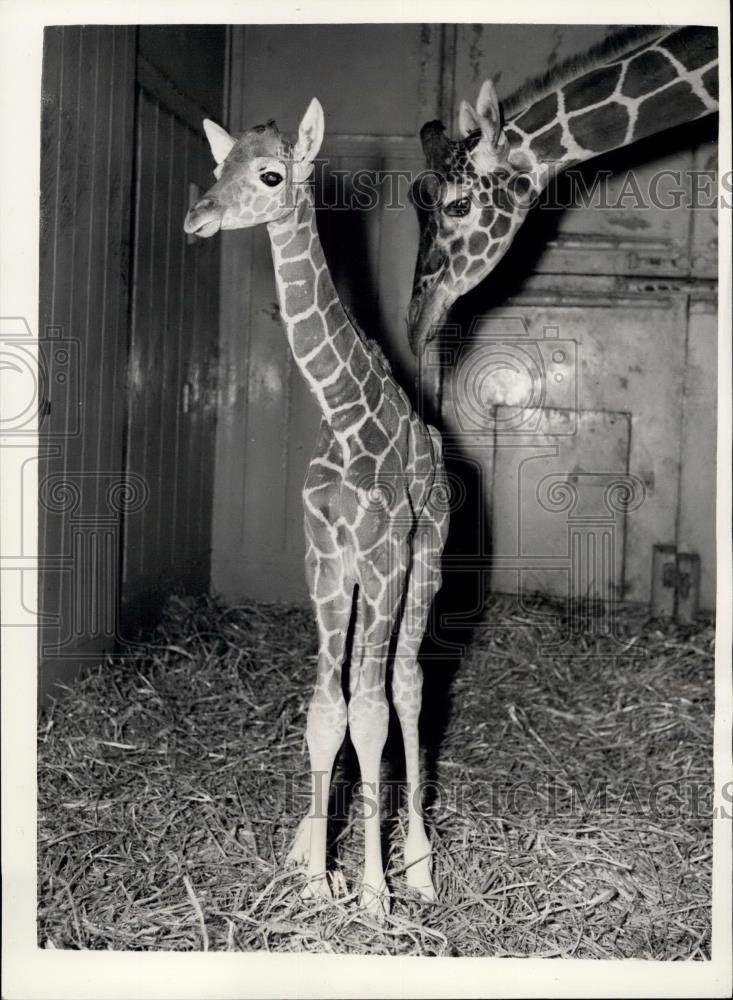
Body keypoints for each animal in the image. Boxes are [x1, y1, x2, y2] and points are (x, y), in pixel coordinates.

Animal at [184, 95, 446, 916]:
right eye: (217, 166)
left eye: (272, 174)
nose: (198, 217)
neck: (343, 413)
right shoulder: (325, 558)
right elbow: (325, 709)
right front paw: (313, 872)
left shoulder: (385, 553)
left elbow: (371, 710)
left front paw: (375, 892)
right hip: (359, 582)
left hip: (426, 564)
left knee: (407, 686)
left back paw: (421, 867)